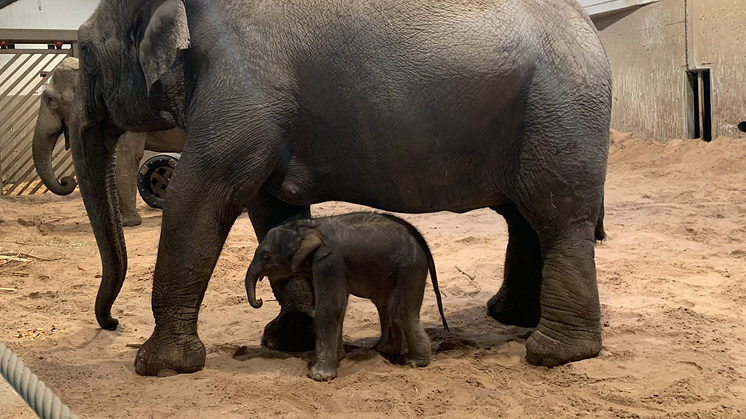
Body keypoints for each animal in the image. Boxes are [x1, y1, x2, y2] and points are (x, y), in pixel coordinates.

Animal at [247, 212, 450, 382]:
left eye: (267, 256)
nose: (259, 301)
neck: (307, 227)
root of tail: (423, 242)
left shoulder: (330, 262)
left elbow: (330, 308)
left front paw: (318, 376)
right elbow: (340, 307)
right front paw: (339, 359)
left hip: (410, 267)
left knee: (401, 312)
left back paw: (415, 362)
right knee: (385, 306)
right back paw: (383, 351)